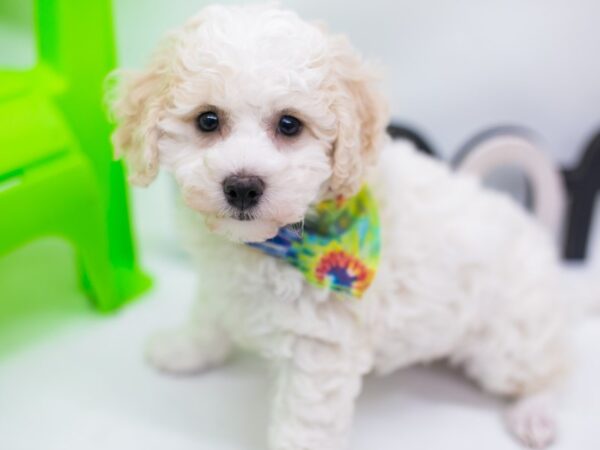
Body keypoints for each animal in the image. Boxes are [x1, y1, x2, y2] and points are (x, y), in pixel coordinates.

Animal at [111, 4, 576, 450]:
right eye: (207, 120)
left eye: (289, 124)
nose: (242, 187)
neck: (273, 243)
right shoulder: (220, 282)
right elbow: (208, 313)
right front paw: (185, 348)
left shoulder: (320, 349)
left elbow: (303, 425)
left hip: (509, 344)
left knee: (552, 371)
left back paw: (534, 415)